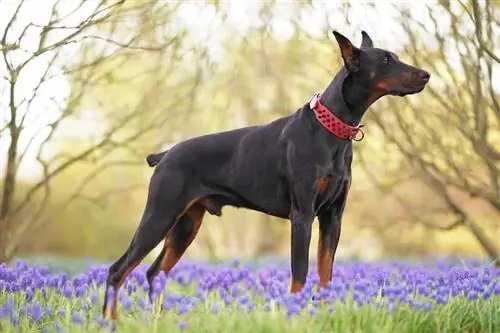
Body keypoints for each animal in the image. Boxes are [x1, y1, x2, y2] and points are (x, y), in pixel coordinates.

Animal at [102, 31, 430, 320]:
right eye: (386, 60)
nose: (426, 74)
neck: (332, 129)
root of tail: (165, 155)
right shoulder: (302, 215)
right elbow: (300, 274)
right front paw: (296, 316)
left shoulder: (333, 217)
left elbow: (326, 273)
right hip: (160, 214)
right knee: (118, 270)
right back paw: (111, 320)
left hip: (186, 224)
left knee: (155, 272)